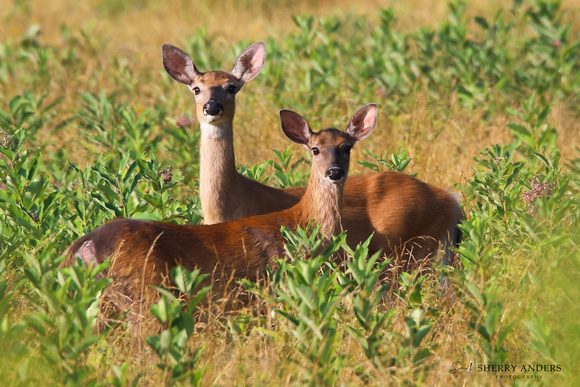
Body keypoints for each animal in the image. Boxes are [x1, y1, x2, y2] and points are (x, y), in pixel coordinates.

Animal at [61, 105, 378, 328]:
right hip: (145, 294)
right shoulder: (274, 287)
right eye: (315, 149)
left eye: (347, 148)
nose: (334, 172)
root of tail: (84, 243)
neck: (300, 224)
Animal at [162, 43, 462, 276]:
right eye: (196, 88)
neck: (230, 203)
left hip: (414, 253)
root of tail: (452, 199)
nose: (212, 107)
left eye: (232, 87)